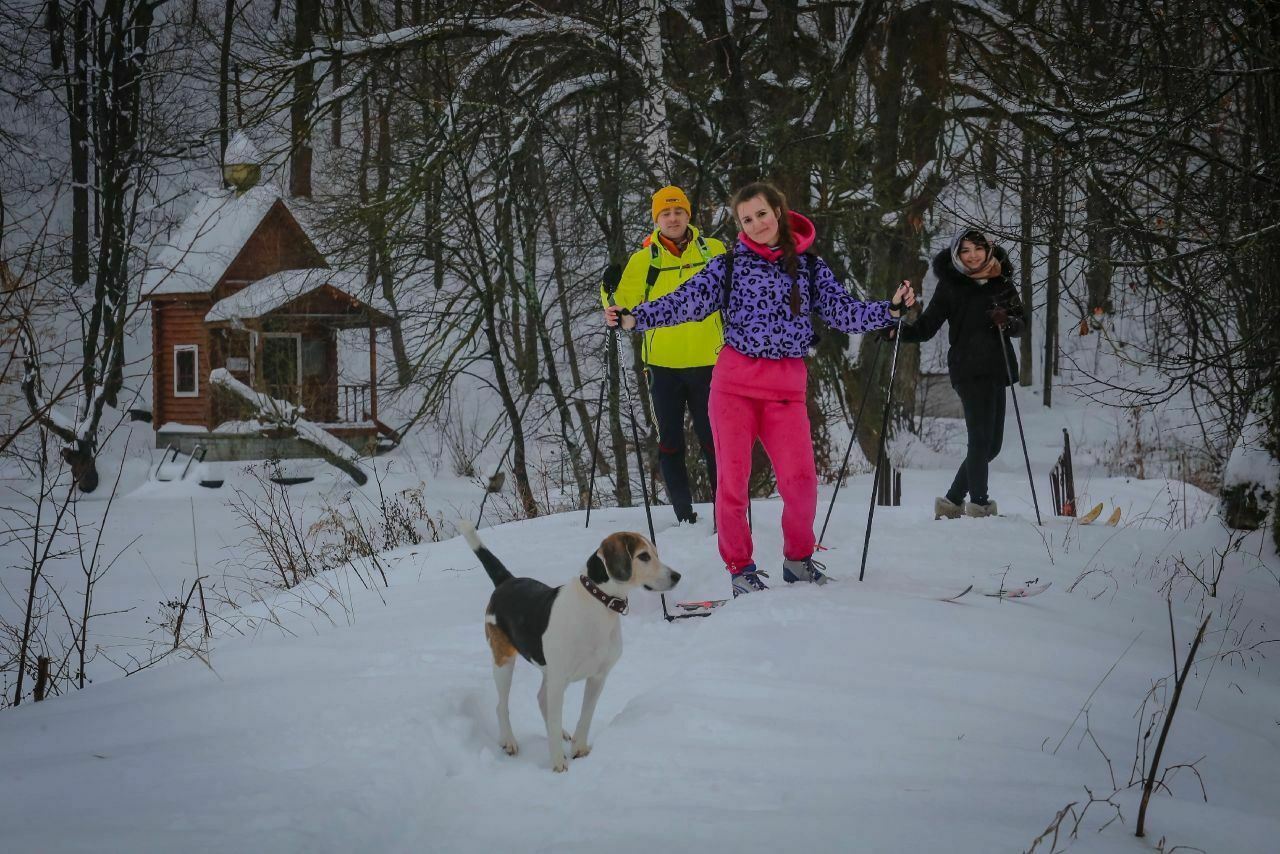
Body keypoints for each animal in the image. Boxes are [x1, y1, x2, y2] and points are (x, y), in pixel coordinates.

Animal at [460, 522, 680, 773]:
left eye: (655, 553)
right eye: (643, 556)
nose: (677, 576)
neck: (597, 604)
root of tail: (507, 581)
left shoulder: (597, 677)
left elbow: (586, 715)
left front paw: (579, 749)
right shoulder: (559, 680)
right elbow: (555, 719)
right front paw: (558, 764)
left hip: (549, 671)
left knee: (541, 699)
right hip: (505, 662)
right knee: (501, 706)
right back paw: (509, 741)